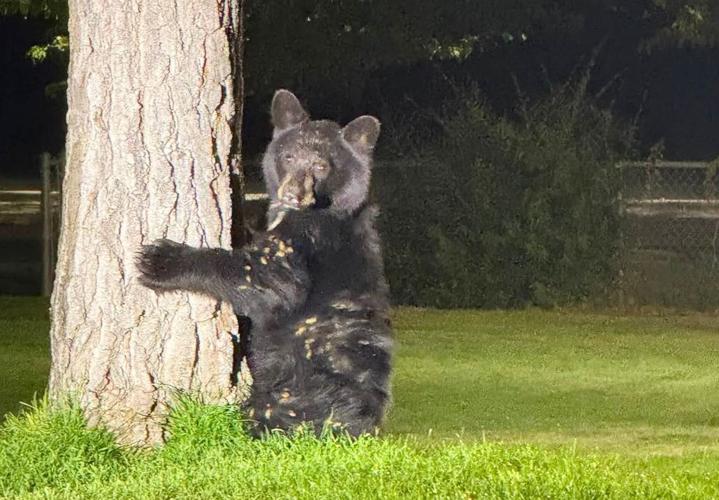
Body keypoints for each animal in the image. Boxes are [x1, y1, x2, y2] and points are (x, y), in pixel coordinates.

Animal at [137, 89, 393, 437]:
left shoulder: (312, 236)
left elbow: (272, 281)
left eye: (321, 165)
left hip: (291, 395)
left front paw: (161, 260)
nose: (293, 194)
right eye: (288, 157)